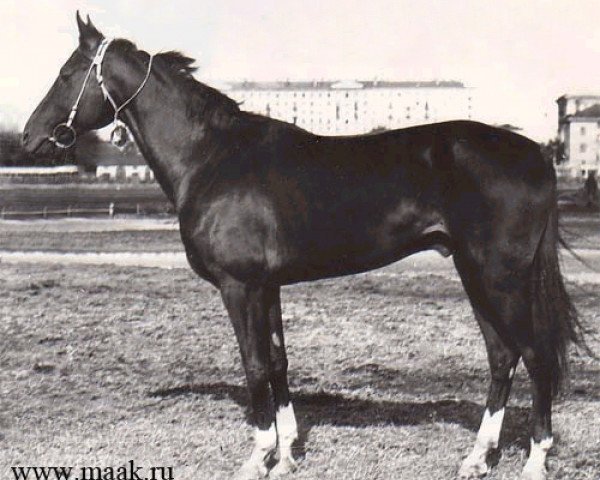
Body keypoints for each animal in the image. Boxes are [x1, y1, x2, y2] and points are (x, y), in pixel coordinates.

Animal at [22, 13, 584, 480]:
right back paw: (476, 458)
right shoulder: (267, 286)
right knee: (502, 356)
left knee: (535, 355)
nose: (29, 137)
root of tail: (535, 153)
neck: (213, 155)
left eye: (69, 72)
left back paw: (535, 461)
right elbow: (277, 362)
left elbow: (253, 364)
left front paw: (257, 458)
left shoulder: (239, 287)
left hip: (500, 278)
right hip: (475, 274)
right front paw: (287, 453)